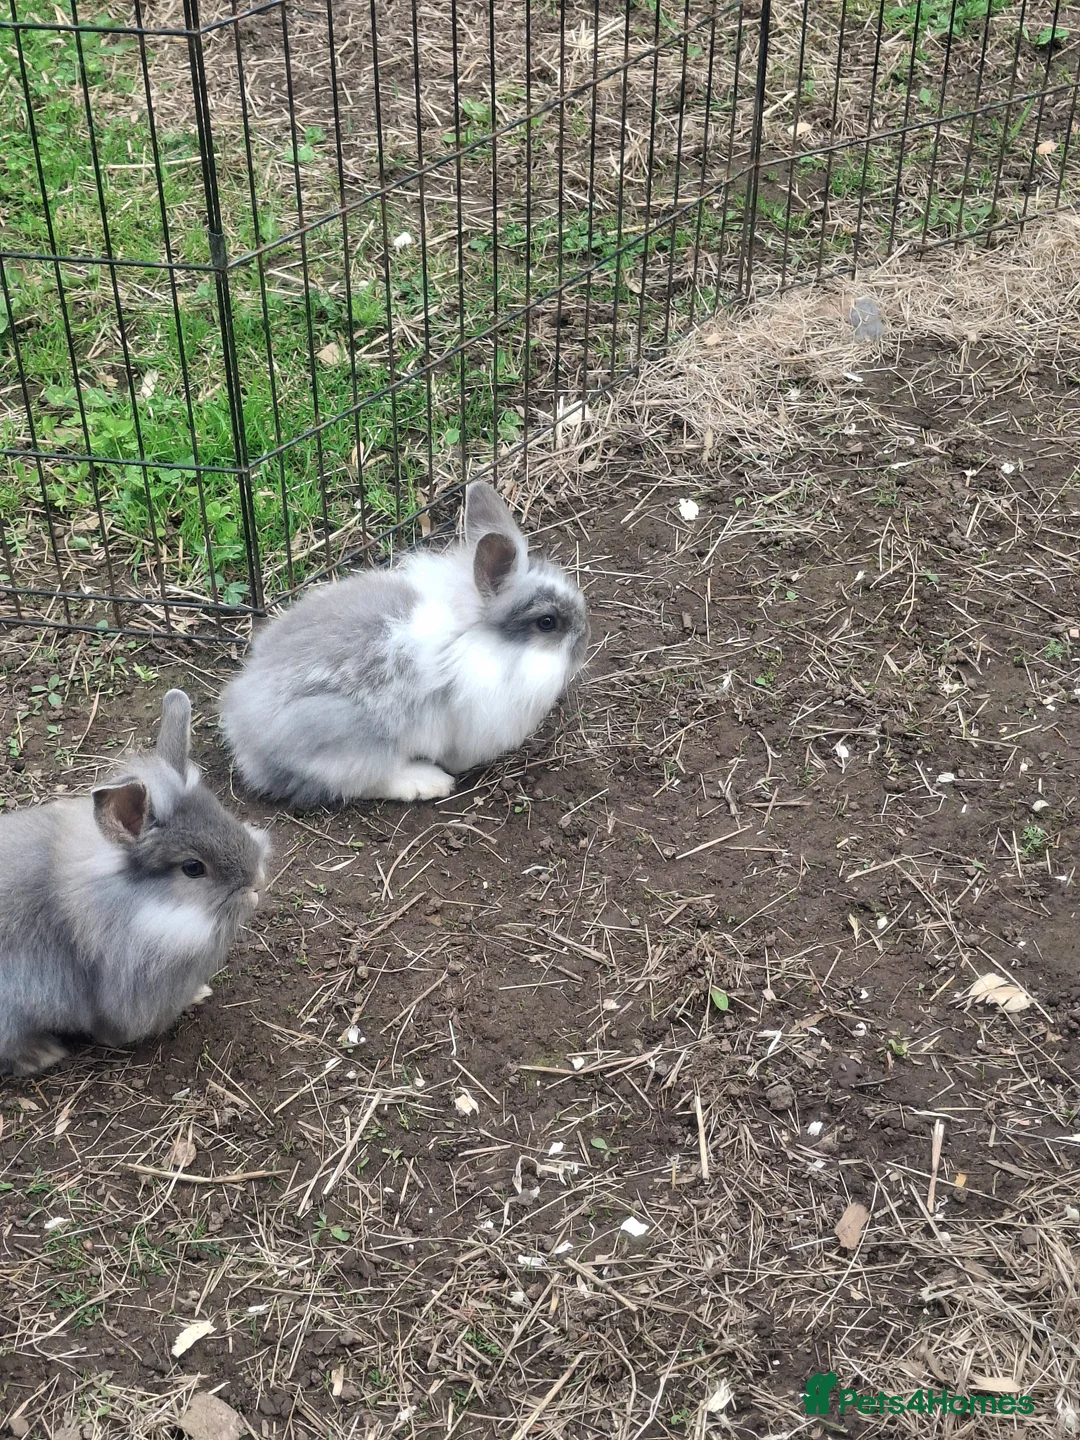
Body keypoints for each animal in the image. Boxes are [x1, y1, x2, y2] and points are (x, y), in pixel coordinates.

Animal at [220, 481, 589, 808]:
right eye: (547, 623)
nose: (584, 639)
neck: (482, 639)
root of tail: (243, 728)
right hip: (350, 739)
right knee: (361, 781)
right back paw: (428, 782)